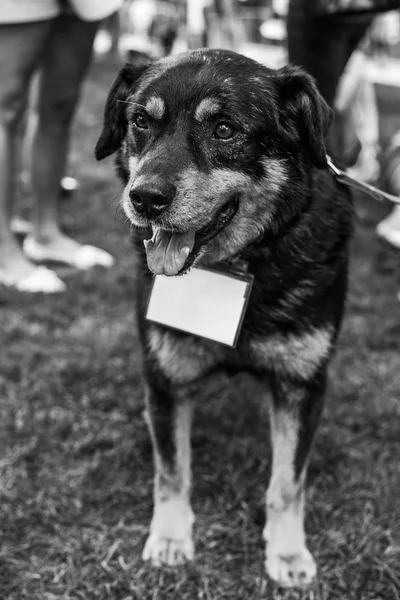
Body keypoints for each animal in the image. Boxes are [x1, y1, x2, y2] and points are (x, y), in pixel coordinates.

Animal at [94, 49, 354, 588]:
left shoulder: (302, 383)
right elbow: (172, 468)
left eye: (225, 130)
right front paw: (171, 538)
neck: (239, 264)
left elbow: (288, 482)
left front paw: (288, 552)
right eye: (140, 122)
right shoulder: (166, 375)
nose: (145, 198)